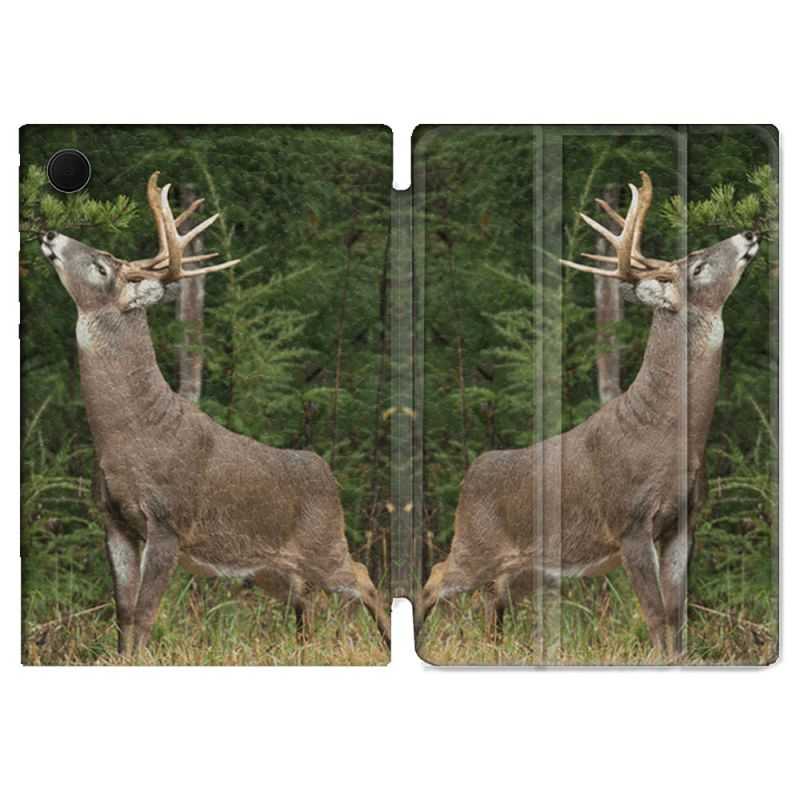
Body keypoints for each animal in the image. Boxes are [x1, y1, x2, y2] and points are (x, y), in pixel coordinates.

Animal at [40, 172, 390, 656]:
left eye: (102, 268)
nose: (50, 233)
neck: (130, 434)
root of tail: (326, 473)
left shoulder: (168, 520)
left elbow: (146, 614)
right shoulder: (113, 519)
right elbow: (123, 613)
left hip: (324, 542)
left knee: (364, 577)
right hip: (270, 568)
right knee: (307, 600)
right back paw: (303, 650)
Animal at [416, 172, 759, 658]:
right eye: (696, 267)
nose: (749, 233)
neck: (668, 432)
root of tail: (471, 474)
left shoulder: (684, 520)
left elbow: (678, 616)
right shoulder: (629, 520)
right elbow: (655, 615)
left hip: (523, 568)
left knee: (492, 602)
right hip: (474, 542)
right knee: (434, 578)